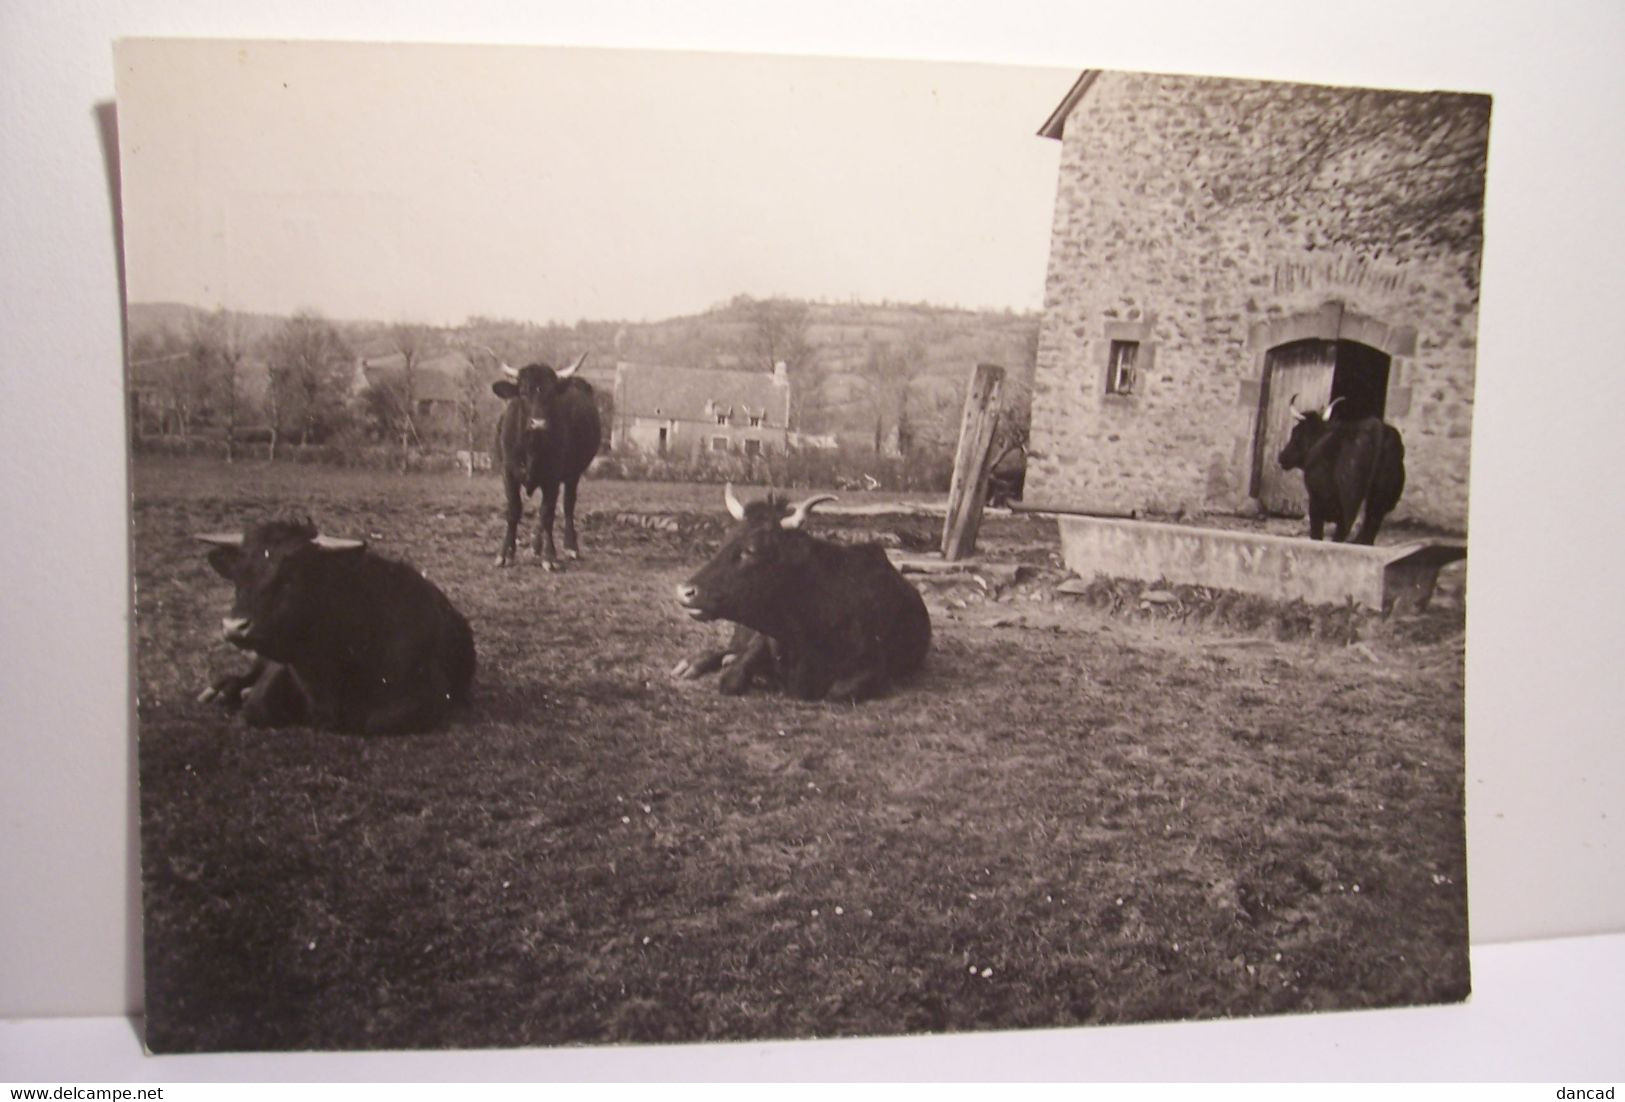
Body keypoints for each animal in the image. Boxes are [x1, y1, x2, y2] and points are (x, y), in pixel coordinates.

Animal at [490, 355, 607, 568]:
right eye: (523, 392)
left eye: (552, 394)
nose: (539, 423)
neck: (531, 447)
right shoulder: (508, 473)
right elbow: (514, 510)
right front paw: (505, 553)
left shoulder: (552, 478)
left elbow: (548, 514)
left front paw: (550, 557)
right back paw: (535, 547)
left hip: (573, 474)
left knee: (567, 505)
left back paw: (570, 547)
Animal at [669, 484, 929, 708]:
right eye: (723, 542)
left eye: (750, 550)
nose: (685, 591)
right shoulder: (762, 638)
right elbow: (731, 679)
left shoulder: (873, 666)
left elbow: (837, 693)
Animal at [1274, 396, 1404, 549]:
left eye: (1295, 433)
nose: (1281, 457)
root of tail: (1376, 427)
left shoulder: (1316, 502)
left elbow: (1316, 534)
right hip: (1380, 501)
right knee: (1369, 532)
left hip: (1348, 503)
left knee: (1344, 532)